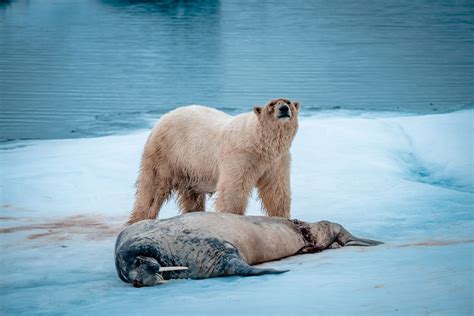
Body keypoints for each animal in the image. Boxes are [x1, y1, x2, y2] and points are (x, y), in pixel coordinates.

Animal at [127, 99, 300, 225]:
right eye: (272, 104)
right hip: (166, 153)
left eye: (288, 102)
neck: (258, 141)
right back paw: (139, 218)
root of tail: (163, 117)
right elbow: (233, 189)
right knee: (153, 187)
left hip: (190, 167)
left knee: (192, 194)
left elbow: (276, 189)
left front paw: (282, 216)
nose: (284, 109)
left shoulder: (277, 160)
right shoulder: (239, 156)